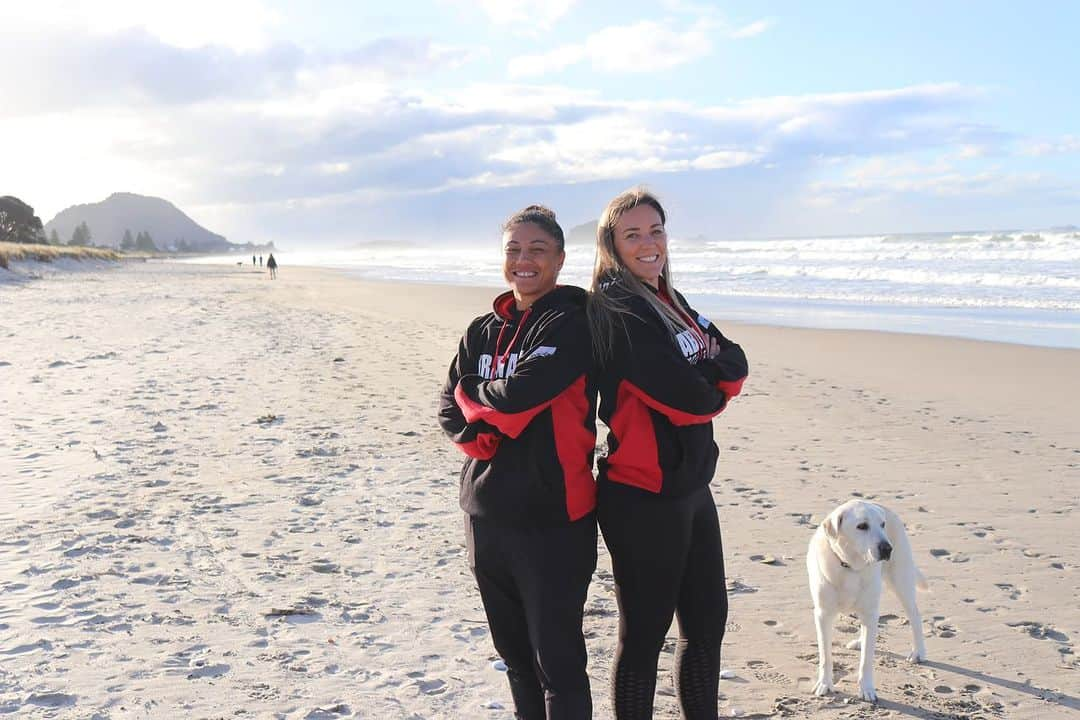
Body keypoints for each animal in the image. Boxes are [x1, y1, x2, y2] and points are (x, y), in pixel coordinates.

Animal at [807, 500, 933, 703]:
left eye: (882, 525)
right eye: (862, 526)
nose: (887, 548)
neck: (850, 566)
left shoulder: (869, 611)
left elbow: (866, 660)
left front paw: (866, 688)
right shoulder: (823, 614)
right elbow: (825, 655)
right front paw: (824, 684)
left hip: (900, 581)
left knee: (915, 616)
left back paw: (918, 652)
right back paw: (860, 641)